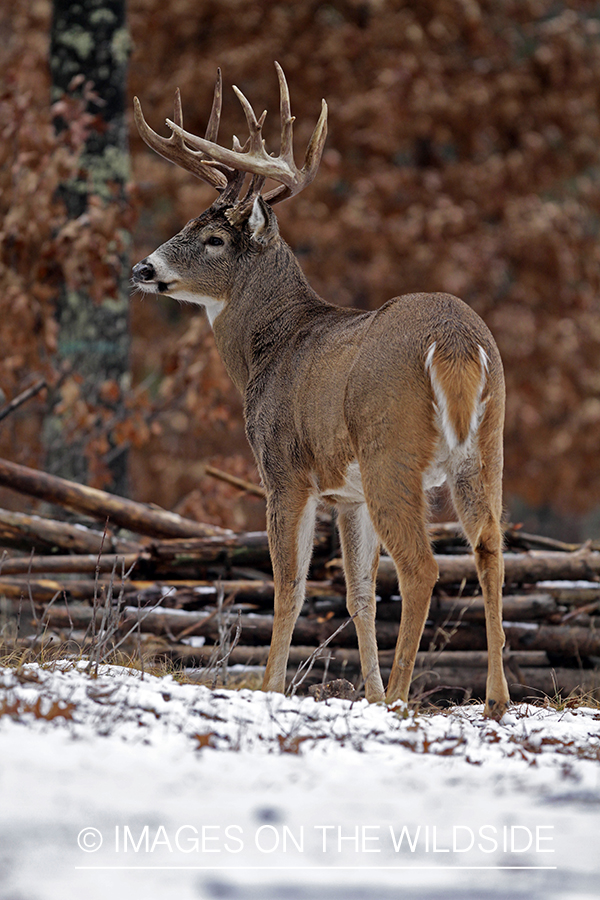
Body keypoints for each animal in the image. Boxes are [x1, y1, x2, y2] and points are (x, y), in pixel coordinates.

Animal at [132, 63, 510, 720]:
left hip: (391, 450)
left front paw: (270, 686)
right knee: (490, 549)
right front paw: (368, 691)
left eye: (213, 238)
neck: (271, 346)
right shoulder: (347, 495)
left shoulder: (284, 470)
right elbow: (358, 594)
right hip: (486, 447)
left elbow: (290, 583)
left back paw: (404, 699)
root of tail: (457, 340)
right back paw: (495, 700)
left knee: (422, 567)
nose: (142, 270)